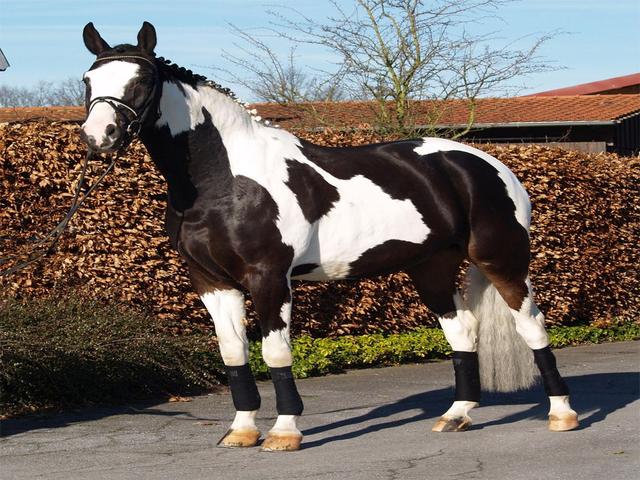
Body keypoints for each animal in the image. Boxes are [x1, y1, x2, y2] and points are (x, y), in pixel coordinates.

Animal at [80, 21, 579, 451]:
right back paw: (456, 416)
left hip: (503, 261)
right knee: (463, 331)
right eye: (88, 79)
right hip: (431, 268)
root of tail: (487, 165)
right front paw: (241, 431)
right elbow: (233, 353)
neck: (225, 179)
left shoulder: (268, 276)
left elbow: (275, 352)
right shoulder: (211, 281)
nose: (98, 136)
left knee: (532, 326)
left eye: (143, 79)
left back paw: (562, 415)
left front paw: (284, 432)